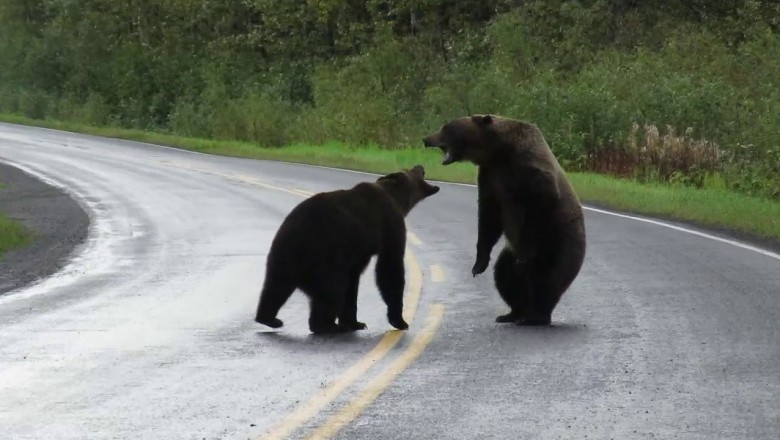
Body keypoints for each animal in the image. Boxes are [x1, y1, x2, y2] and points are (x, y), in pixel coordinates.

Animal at [254, 165, 438, 334]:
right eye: (412, 170)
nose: (421, 165)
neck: (396, 199)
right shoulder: (390, 225)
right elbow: (390, 268)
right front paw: (399, 320)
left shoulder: (356, 255)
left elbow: (353, 283)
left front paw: (355, 322)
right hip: (322, 257)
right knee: (333, 289)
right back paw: (327, 326)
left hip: (284, 255)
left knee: (276, 287)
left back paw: (269, 318)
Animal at [420, 115, 584, 324]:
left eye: (446, 127)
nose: (426, 139)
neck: (497, 151)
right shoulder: (490, 176)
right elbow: (488, 216)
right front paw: (478, 265)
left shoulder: (527, 169)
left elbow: (541, 200)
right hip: (510, 252)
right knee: (505, 274)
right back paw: (513, 313)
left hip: (557, 245)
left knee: (545, 279)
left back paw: (537, 316)